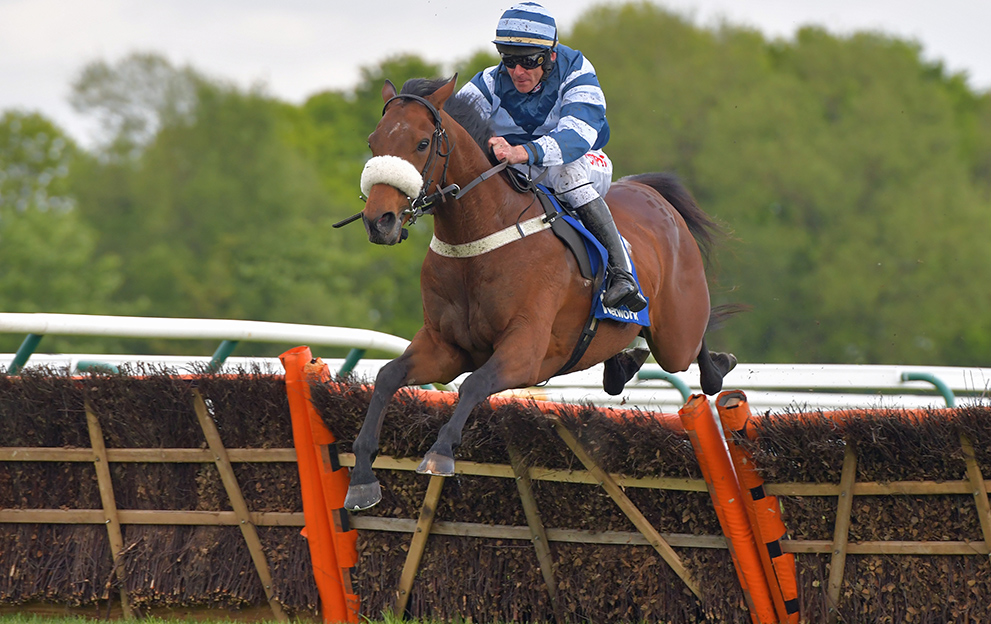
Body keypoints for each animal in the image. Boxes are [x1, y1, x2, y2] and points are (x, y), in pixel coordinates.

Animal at [340, 74, 736, 512]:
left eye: (423, 143)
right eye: (374, 142)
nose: (380, 221)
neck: (478, 239)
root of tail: (649, 192)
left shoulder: (526, 350)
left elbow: (474, 384)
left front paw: (440, 452)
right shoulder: (445, 347)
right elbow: (389, 376)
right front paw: (362, 476)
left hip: (676, 333)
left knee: (694, 347)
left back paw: (718, 365)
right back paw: (624, 364)